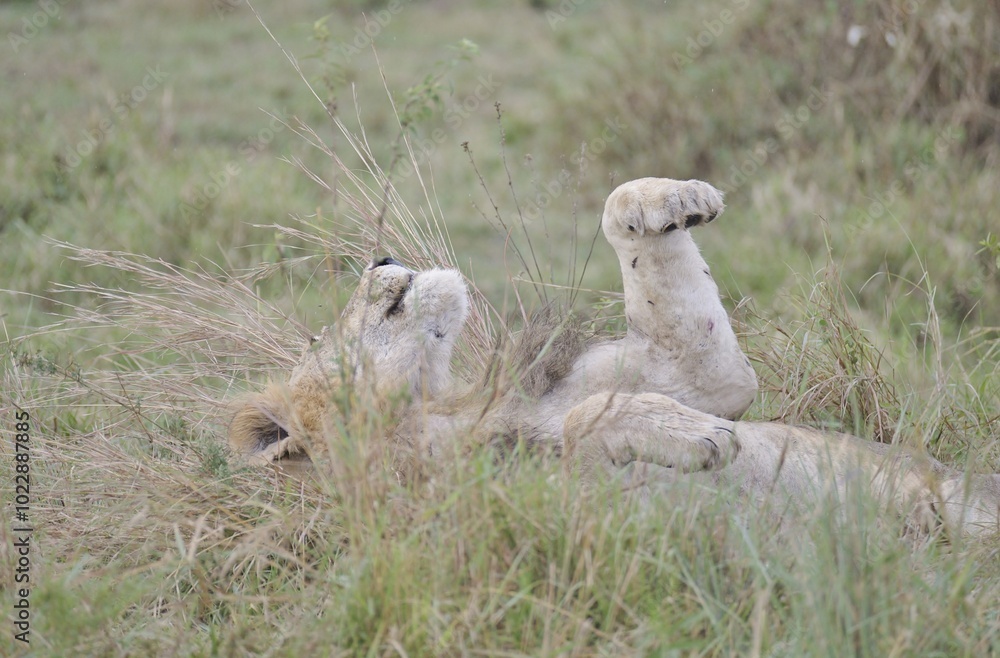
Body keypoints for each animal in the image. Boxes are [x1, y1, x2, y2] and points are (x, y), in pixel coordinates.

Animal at [229, 177, 1000, 537]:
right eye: (319, 340)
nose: (382, 257)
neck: (441, 412)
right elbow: (583, 426)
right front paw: (693, 436)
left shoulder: (702, 372)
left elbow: (621, 214)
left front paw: (674, 201)